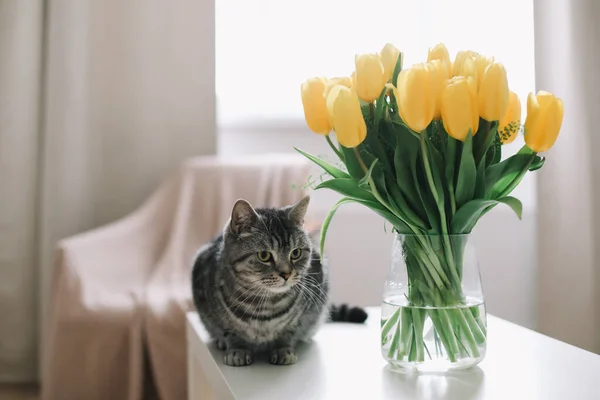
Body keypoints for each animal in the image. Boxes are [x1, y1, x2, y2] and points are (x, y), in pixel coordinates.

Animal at [191, 195, 366, 368]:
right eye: (264, 255)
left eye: (295, 253)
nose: (286, 274)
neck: (264, 306)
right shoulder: (216, 314)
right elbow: (230, 332)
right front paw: (237, 349)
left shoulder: (301, 316)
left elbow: (288, 333)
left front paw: (283, 349)